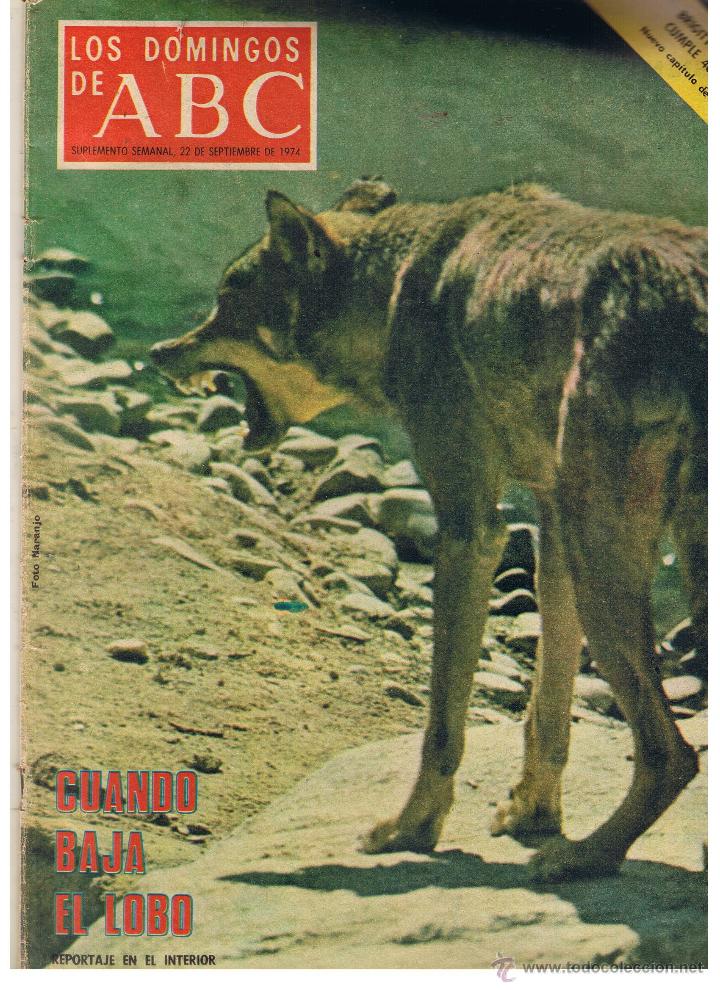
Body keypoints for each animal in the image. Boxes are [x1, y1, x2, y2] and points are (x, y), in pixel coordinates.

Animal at [152, 179, 707, 880]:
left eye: (227, 298)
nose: (156, 353)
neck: (398, 287)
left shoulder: (472, 528)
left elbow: (442, 720)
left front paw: (411, 829)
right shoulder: (552, 530)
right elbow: (545, 713)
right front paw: (531, 813)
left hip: (605, 565)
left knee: (672, 755)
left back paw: (584, 857)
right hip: (613, 555)